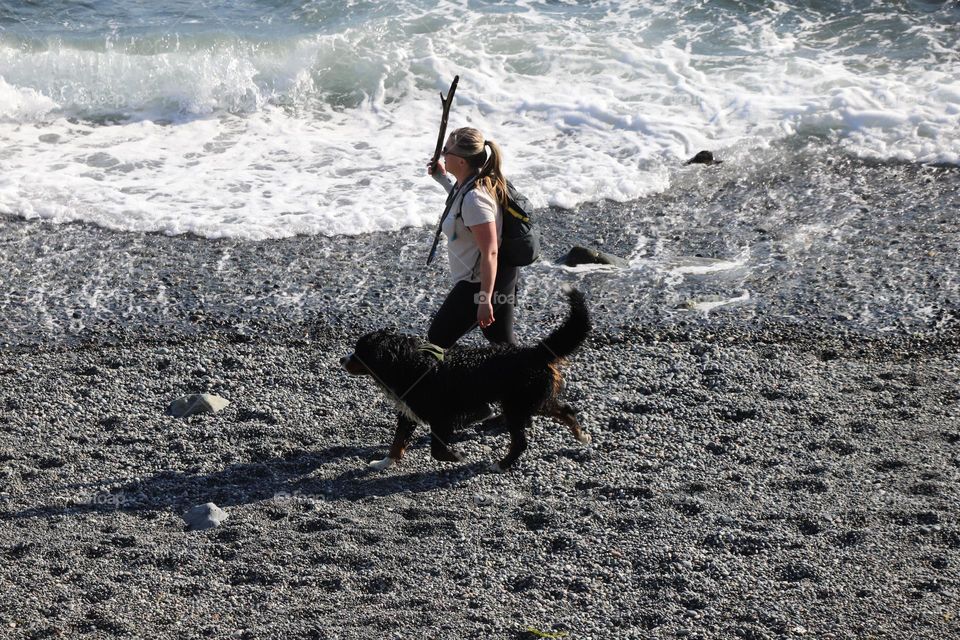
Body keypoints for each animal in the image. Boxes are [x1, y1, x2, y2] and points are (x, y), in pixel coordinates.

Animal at [338, 288, 592, 472]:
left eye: (360, 352)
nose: (341, 359)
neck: (407, 364)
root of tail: (533, 352)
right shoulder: (408, 411)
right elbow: (397, 441)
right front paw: (384, 462)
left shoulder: (441, 417)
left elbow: (437, 451)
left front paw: (458, 455)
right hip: (533, 401)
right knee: (566, 410)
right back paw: (581, 436)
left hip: (516, 405)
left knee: (521, 443)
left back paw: (500, 465)